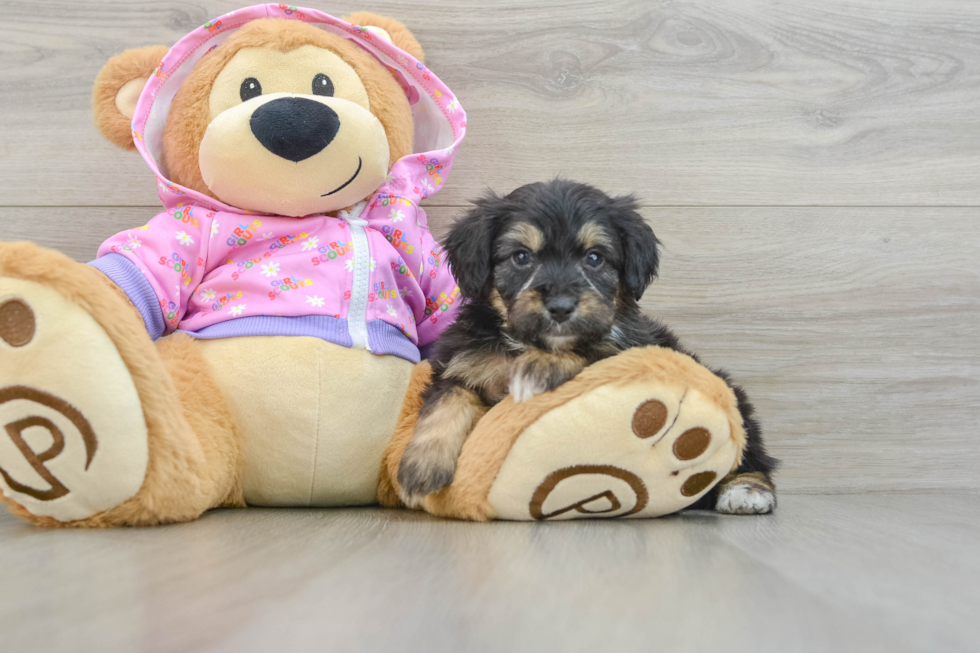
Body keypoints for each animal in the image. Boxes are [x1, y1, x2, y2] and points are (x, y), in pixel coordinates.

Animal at [394, 181, 776, 512]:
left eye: (594, 258)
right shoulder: (461, 362)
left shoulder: (627, 349)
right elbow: (445, 403)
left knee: (751, 454)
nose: (561, 306)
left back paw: (748, 490)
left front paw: (542, 365)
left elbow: (590, 350)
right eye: (521, 257)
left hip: (734, 397)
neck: (525, 342)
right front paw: (419, 469)